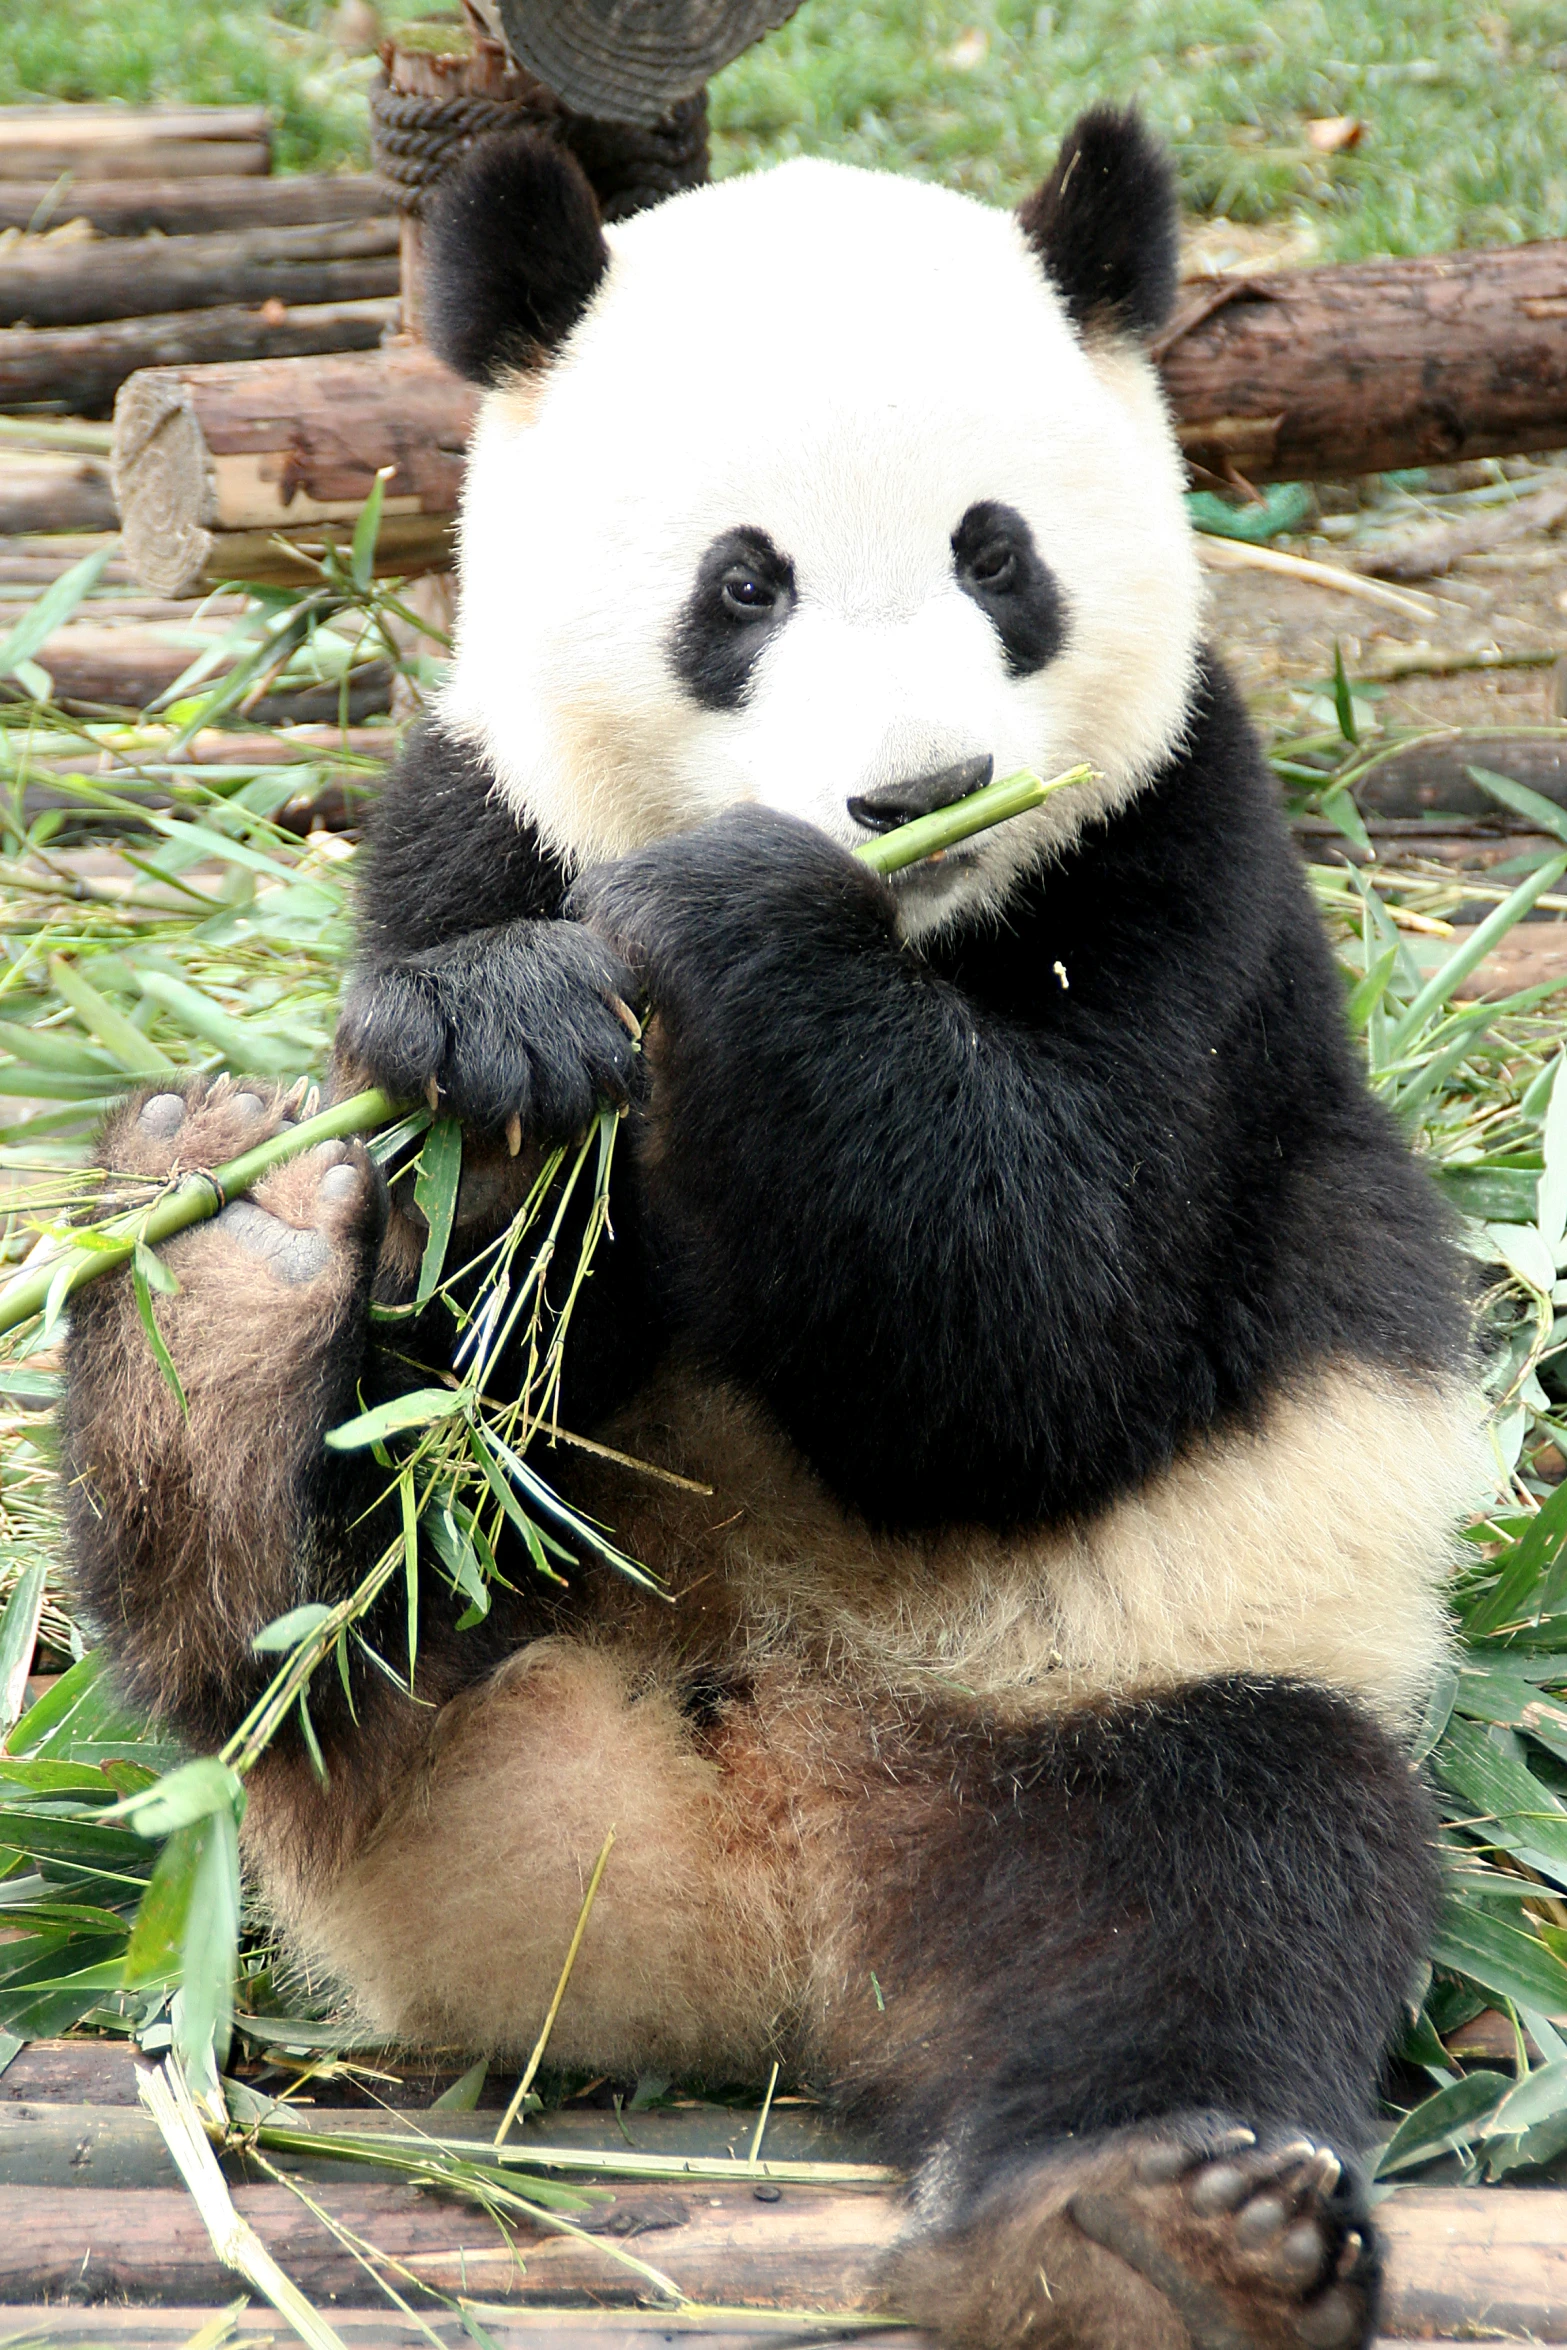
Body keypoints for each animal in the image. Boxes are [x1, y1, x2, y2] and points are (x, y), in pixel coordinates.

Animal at [61, 105, 1484, 2350]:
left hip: (1142, 1684)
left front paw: (734, 929)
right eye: (744, 583)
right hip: (442, 1681)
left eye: (999, 556)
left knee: (1220, 1897)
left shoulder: (1186, 881)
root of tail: (723, 1893)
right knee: (319, 1614)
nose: (917, 793)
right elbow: (491, 1362)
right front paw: (499, 1039)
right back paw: (219, 1298)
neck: (923, 932)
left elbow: (1045, 1344)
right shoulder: (468, 811)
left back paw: (1150, 2235)